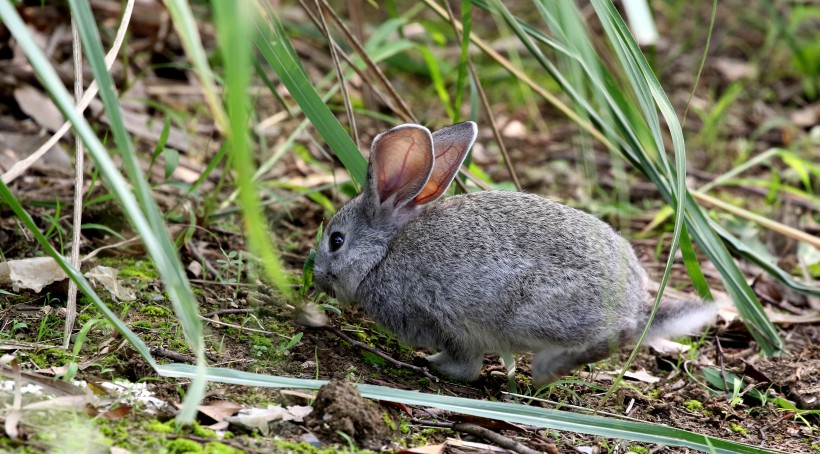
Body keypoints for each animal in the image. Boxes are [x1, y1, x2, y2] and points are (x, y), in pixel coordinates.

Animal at [310, 120, 716, 384]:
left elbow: (465, 364)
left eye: (336, 241)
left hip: (535, 312)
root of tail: (634, 302)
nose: (317, 277)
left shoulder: (444, 320)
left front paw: (432, 362)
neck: (383, 253)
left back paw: (543, 372)